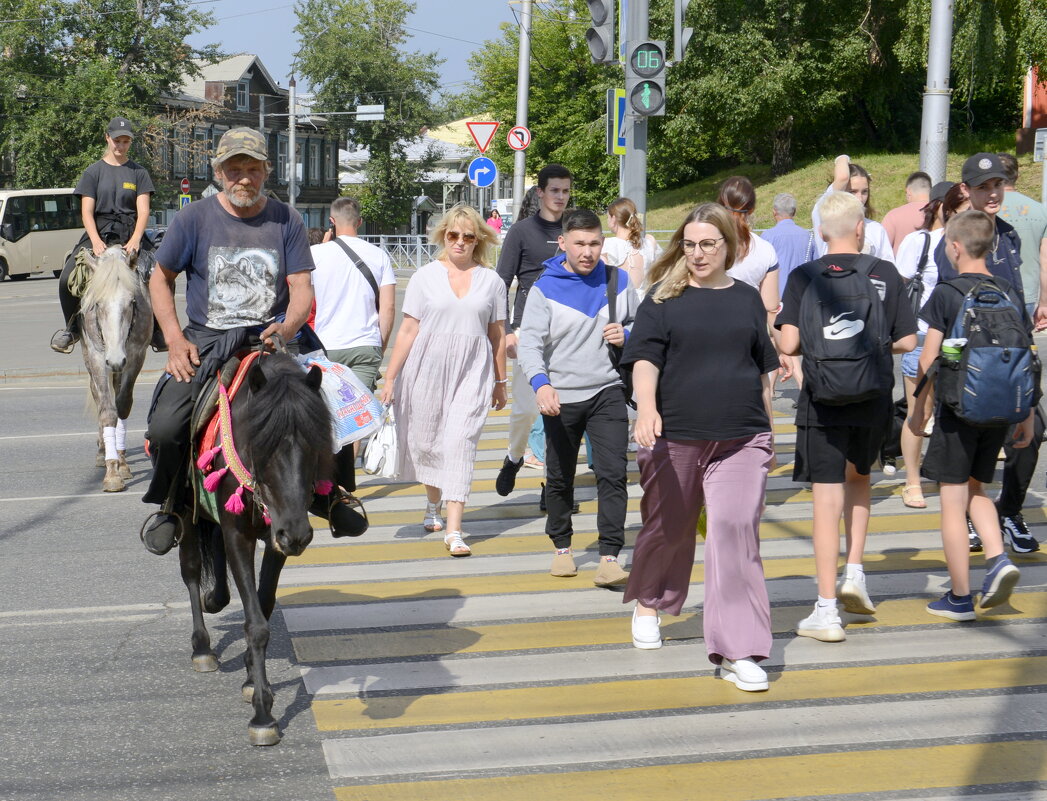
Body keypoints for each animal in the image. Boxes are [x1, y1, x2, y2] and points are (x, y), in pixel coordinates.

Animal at [79, 247, 152, 490]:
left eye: (131, 302)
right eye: (98, 304)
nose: (115, 360)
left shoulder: (136, 356)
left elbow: (122, 406)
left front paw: (122, 463)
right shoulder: (97, 357)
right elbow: (107, 411)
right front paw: (112, 472)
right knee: (97, 395)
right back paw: (102, 452)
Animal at [175, 353, 330, 745]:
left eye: (315, 445)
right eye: (264, 444)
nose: (298, 535)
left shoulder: (276, 537)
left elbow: (262, 605)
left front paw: (250, 678)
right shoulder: (239, 535)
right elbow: (256, 623)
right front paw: (263, 713)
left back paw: (215, 600)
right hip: (186, 510)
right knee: (191, 569)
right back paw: (202, 647)